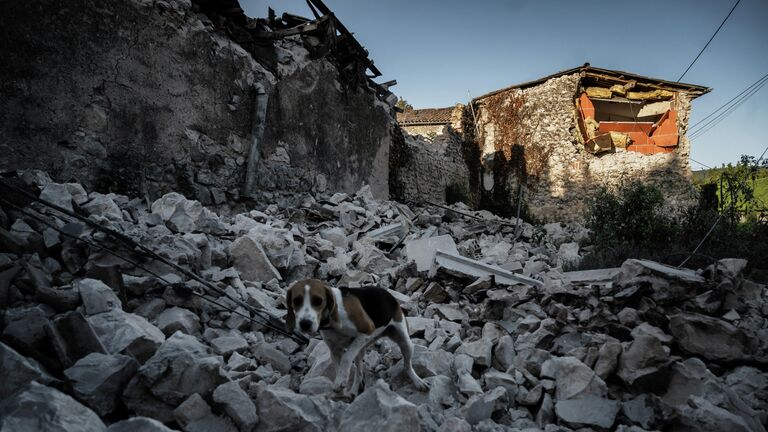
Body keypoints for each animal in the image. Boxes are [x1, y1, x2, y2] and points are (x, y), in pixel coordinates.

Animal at [284, 278, 428, 396]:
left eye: (318, 301)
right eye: (296, 301)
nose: (305, 324)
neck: (331, 318)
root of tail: (389, 294)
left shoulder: (367, 330)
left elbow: (347, 358)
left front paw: (341, 380)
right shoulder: (334, 349)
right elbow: (339, 366)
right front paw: (340, 384)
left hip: (405, 342)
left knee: (407, 366)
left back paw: (418, 381)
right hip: (360, 351)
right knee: (359, 373)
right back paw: (353, 391)